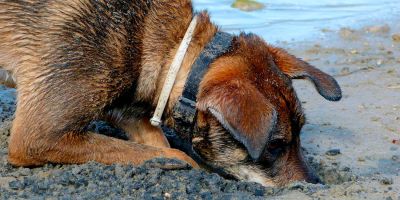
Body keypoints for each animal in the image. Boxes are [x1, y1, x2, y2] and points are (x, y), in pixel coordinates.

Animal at [0, 0, 340, 188]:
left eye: (300, 135)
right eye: (274, 146)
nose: (314, 185)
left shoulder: (133, 112)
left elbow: (158, 142)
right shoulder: (37, 136)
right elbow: (177, 154)